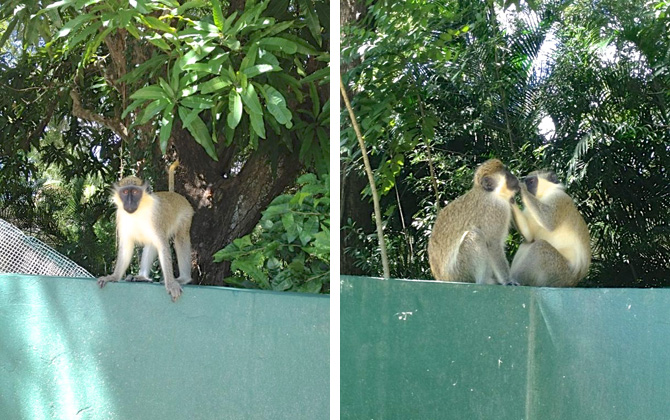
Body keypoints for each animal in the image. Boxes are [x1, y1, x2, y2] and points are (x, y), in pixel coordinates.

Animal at [98, 161, 196, 302]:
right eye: (125, 191)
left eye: (134, 191)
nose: (129, 202)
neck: (138, 210)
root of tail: (174, 194)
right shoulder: (120, 215)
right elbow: (126, 246)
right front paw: (113, 277)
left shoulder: (156, 217)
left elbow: (163, 246)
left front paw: (171, 284)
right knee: (152, 244)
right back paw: (142, 277)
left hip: (186, 215)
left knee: (180, 239)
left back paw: (183, 278)